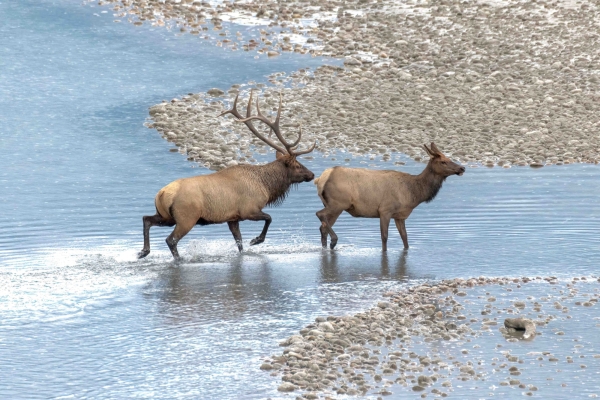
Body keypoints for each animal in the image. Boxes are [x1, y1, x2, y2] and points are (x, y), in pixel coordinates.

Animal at [138, 90, 316, 260]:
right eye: (297, 165)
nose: (312, 174)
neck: (266, 186)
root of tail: (161, 194)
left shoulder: (233, 218)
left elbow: (239, 242)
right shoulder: (249, 209)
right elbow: (269, 218)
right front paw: (256, 240)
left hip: (167, 216)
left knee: (146, 219)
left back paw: (143, 251)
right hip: (186, 217)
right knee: (171, 240)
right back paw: (176, 258)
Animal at [314, 143, 464, 250]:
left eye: (449, 158)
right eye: (443, 161)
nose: (462, 168)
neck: (413, 193)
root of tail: (321, 179)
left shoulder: (400, 215)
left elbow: (405, 238)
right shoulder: (385, 210)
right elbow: (384, 237)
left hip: (335, 206)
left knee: (323, 227)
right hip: (338, 203)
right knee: (319, 214)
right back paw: (334, 241)